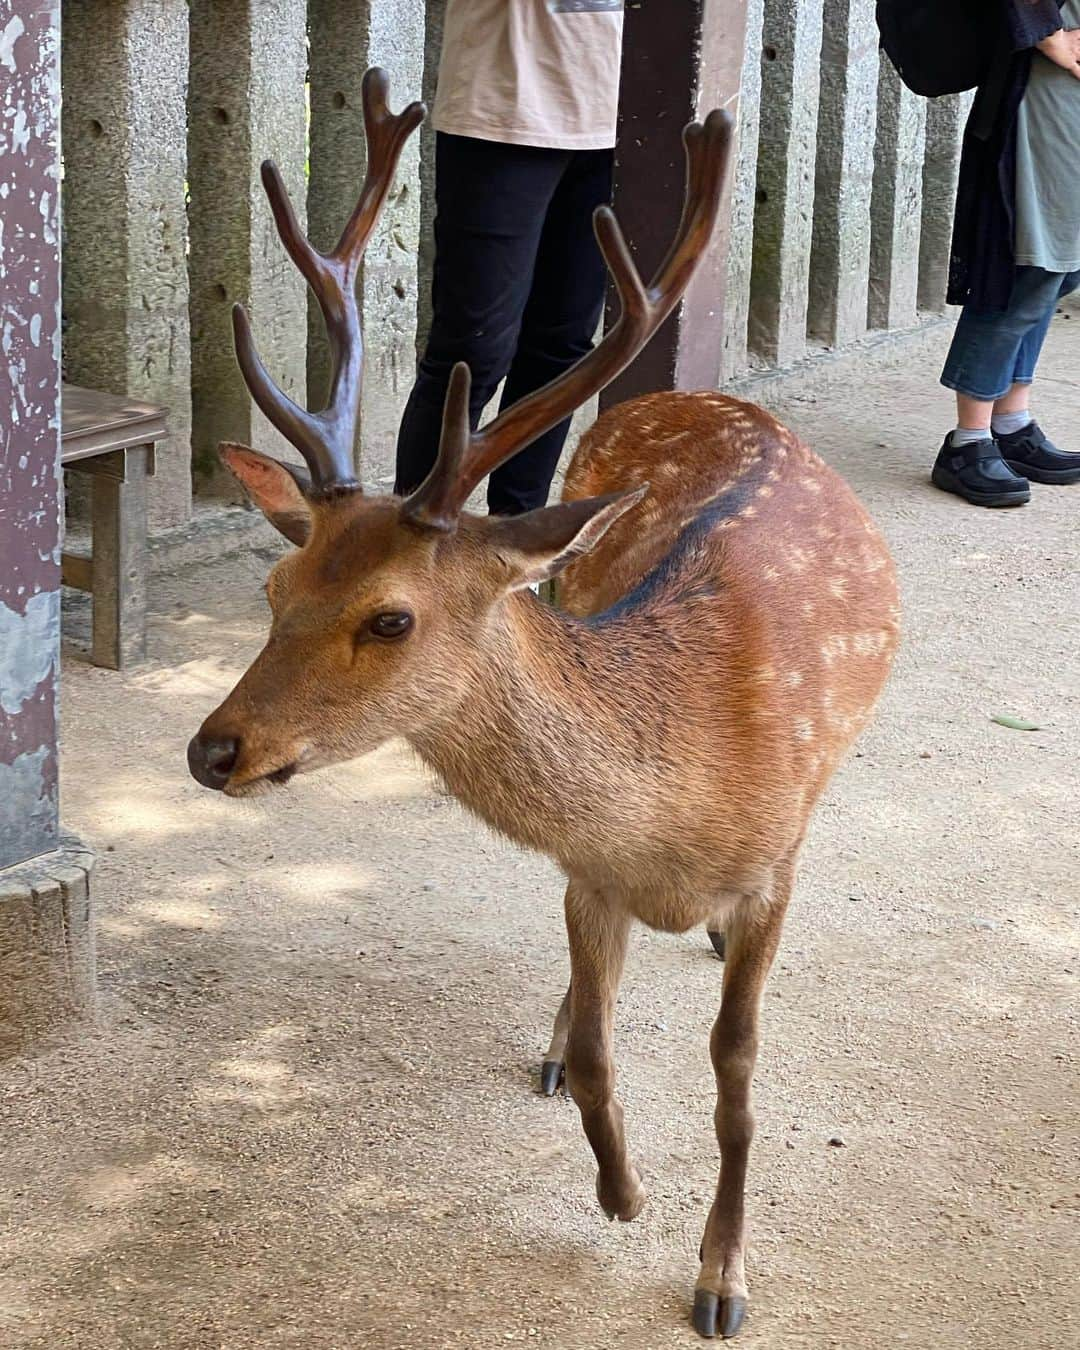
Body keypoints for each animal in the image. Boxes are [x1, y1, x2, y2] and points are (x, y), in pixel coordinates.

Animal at [187, 68, 901, 1333]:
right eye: (275, 588)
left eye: (390, 617)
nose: (215, 749)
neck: (677, 813)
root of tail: (732, 399)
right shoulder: (588, 877)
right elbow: (609, 1053)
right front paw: (620, 1190)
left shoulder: (775, 869)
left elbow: (738, 1074)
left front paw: (721, 1279)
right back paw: (563, 1040)